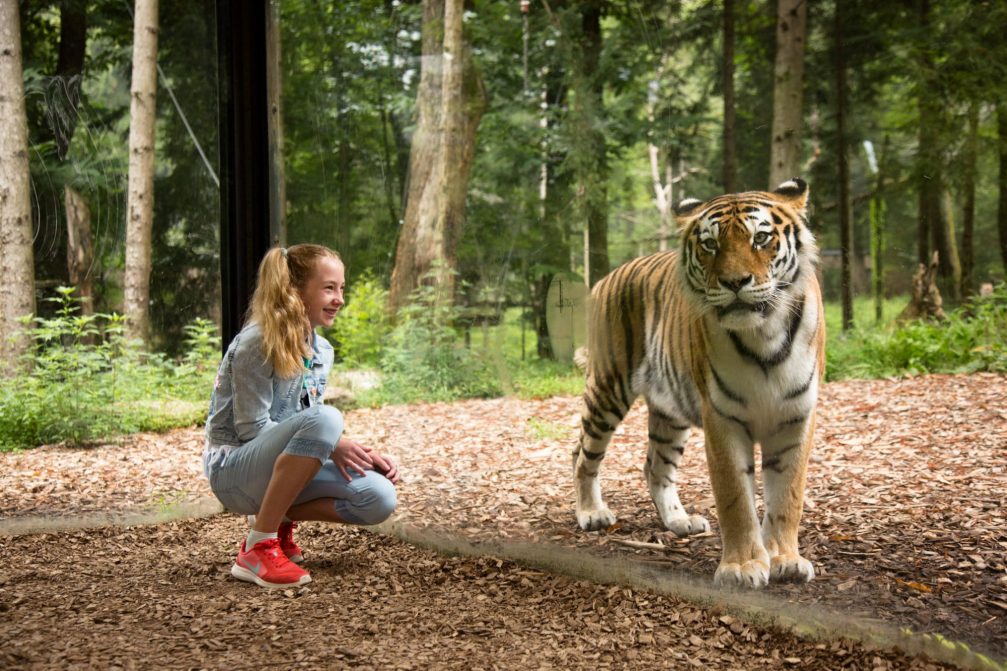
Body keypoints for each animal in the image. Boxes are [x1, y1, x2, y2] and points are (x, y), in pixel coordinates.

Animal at [576, 176, 825, 584]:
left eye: (760, 238)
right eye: (710, 244)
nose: (735, 281)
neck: (765, 334)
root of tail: (604, 279)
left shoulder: (795, 418)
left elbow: (788, 496)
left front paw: (783, 558)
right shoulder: (722, 418)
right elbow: (735, 497)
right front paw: (742, 567)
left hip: (670, 411)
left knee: (655, 466)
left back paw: (679, 522)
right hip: (608, 389)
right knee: (583, 454)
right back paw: (590, 513)